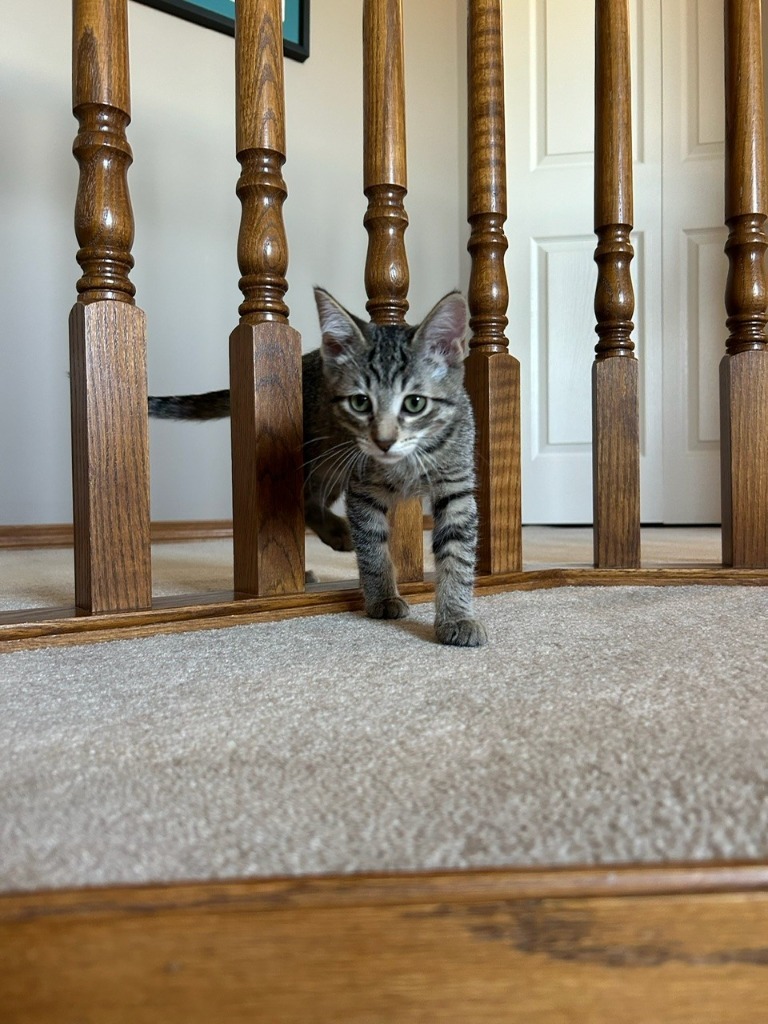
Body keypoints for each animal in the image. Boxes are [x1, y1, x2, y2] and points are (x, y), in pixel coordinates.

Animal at [150, 284, 487, 643]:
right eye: (360, 402)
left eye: (415, 403)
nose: (383, 441)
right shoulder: (362, 488)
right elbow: (372, 547)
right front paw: (382, 595)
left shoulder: (456, 488)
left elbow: (457, 555)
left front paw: (457, 616)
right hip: (324, 459)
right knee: (305, 502)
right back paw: (333, 539)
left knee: (311, 502)